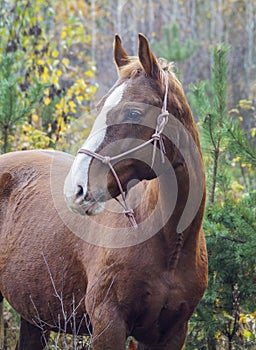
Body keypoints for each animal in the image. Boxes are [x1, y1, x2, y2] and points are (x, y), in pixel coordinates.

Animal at [0, 33, 207, 350]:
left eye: (134, 112)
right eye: (99, 108)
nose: (75, 189)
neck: (170, 244)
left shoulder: (170, 334)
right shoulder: (108, 325)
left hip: (35, 318)